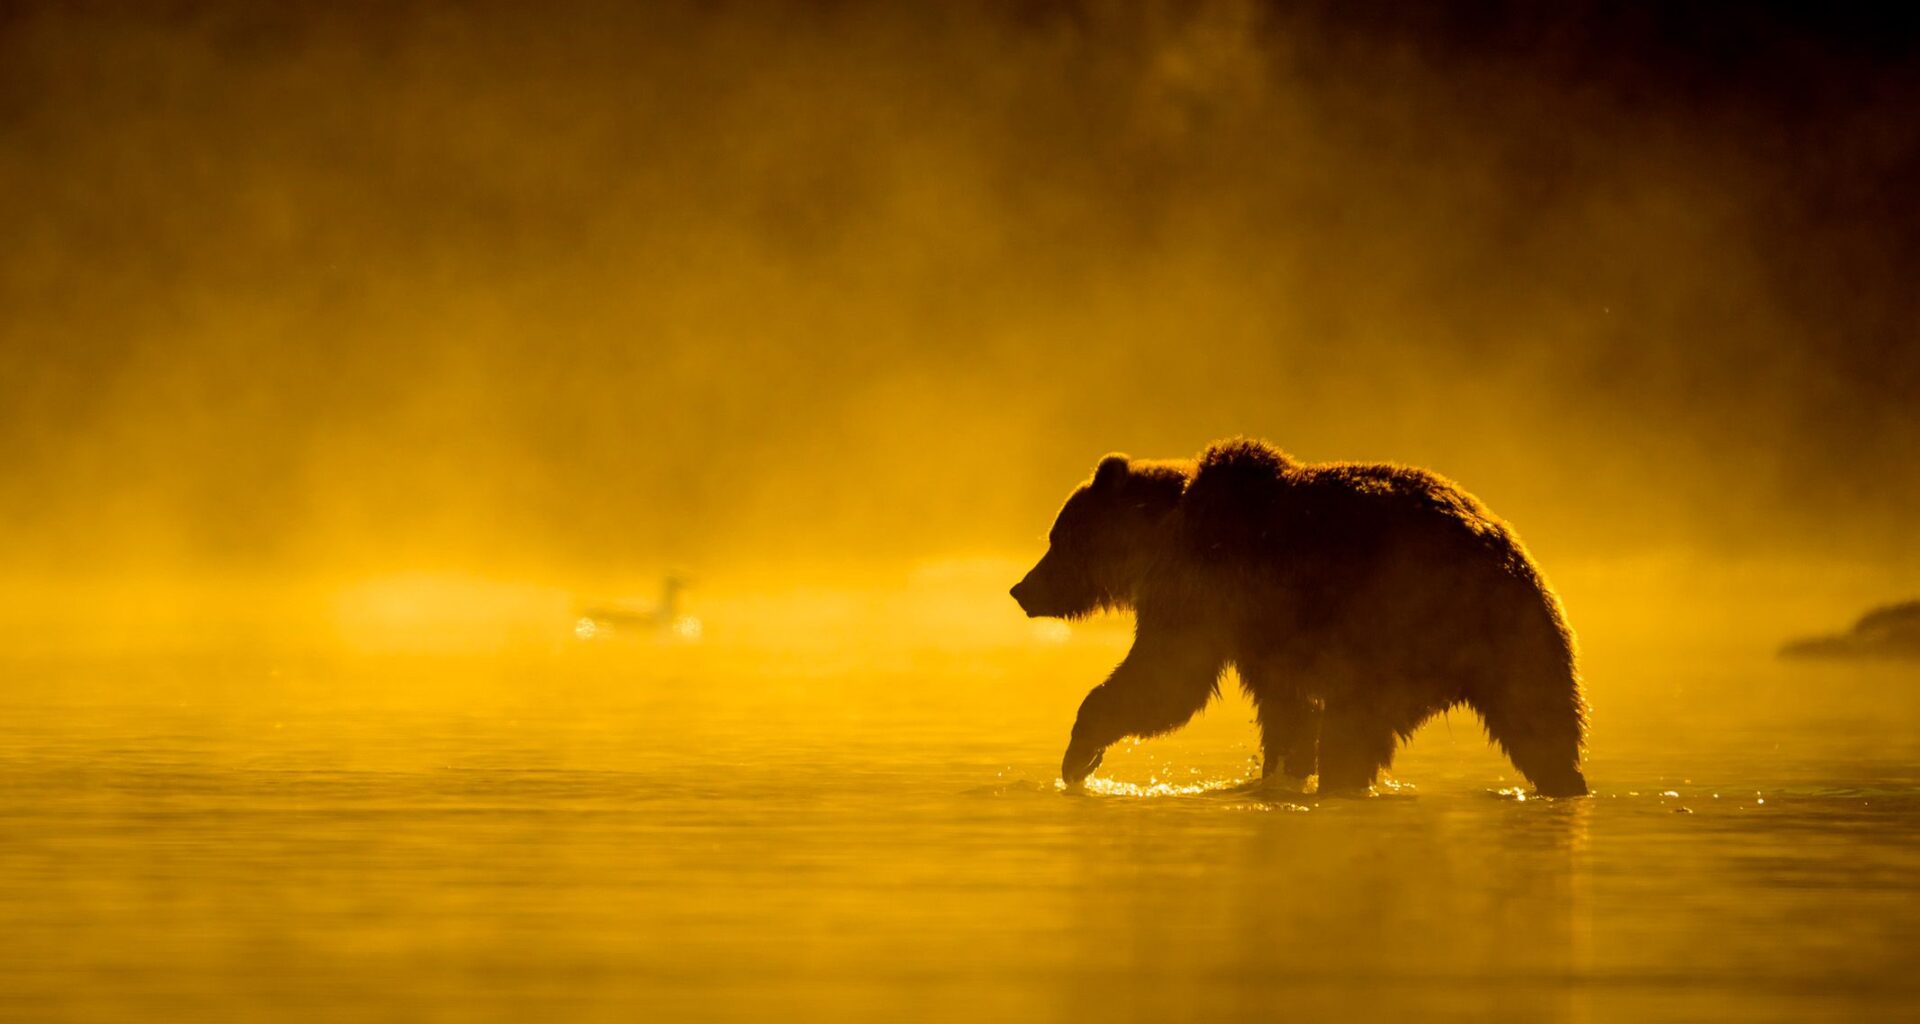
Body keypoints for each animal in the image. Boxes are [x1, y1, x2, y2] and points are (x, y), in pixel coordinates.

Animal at [1009, 438, 1588, 797]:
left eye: (1056, 537)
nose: (1021, 589)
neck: (1160, 534)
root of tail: (1505, 548)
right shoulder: (1259, 633)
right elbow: (1282, 708)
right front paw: (1279, 772)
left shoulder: (1204, 583)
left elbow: (1166, 681)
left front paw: (1079, 755)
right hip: (1521, 639)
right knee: (1541, 723)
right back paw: (1566, 781)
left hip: (1398, 637)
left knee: (1354, 725)